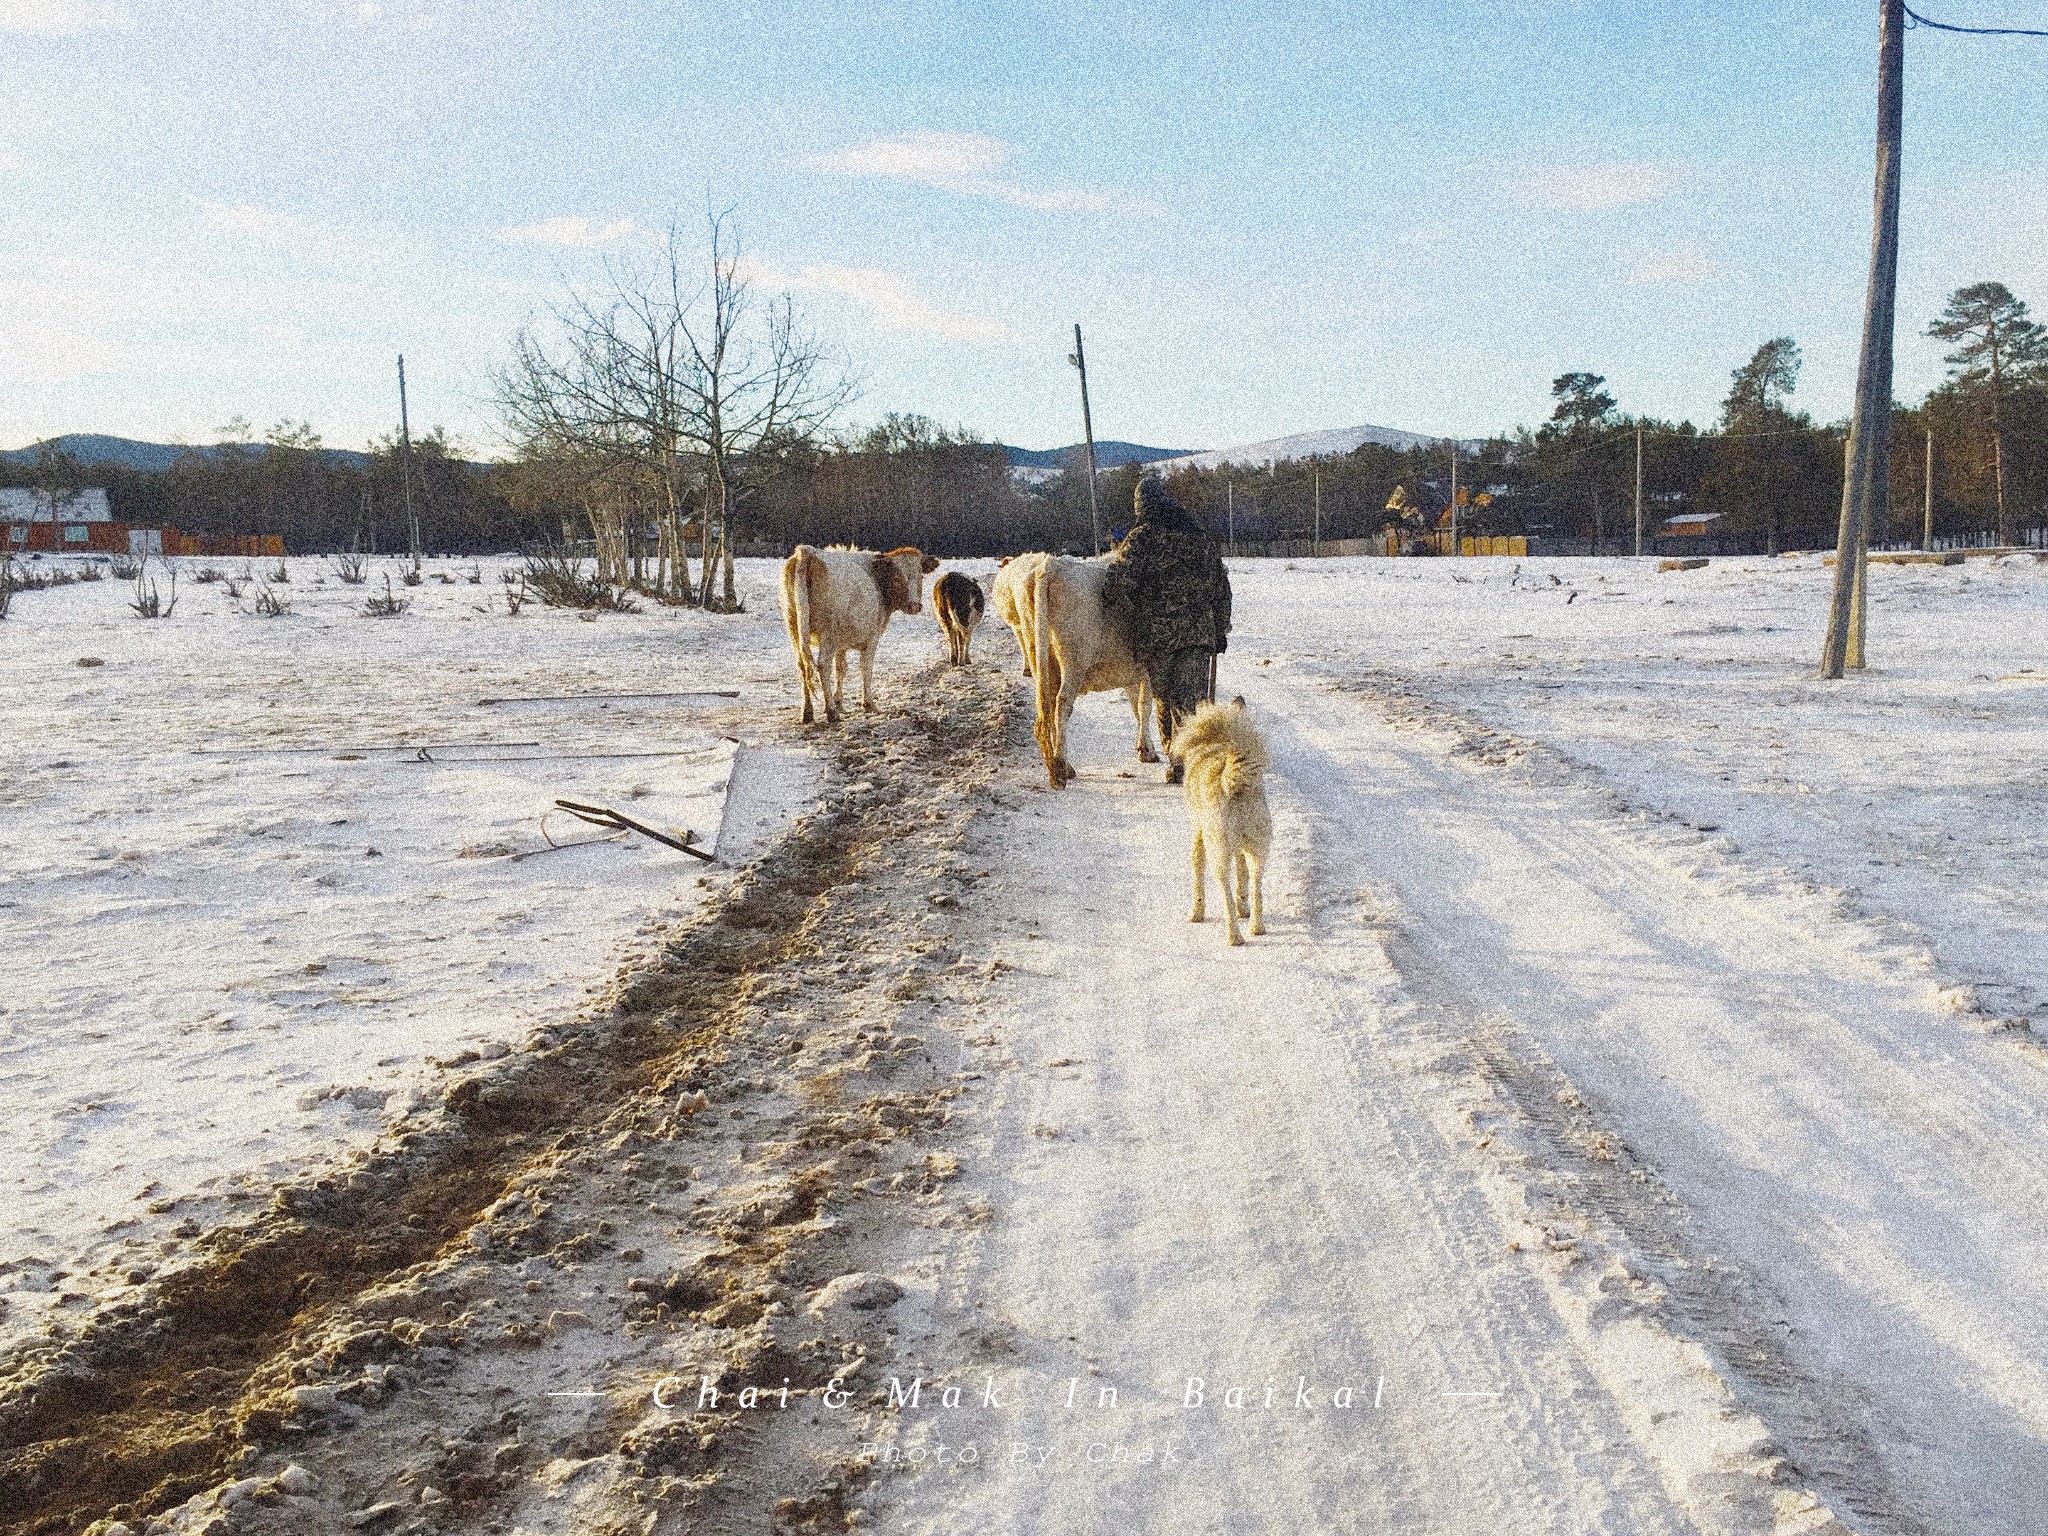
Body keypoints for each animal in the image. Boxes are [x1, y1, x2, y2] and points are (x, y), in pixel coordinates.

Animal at [778, 548, 937, 729]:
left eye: (920, 576)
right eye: (897, 577)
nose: (914, 606)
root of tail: (806, 552)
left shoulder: (840, 644)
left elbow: (841, 669)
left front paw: (839, 701)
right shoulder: (872, 638)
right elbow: (866, 668)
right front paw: (868, 704)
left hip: (793, 627)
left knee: (802, 666)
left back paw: (807, 712)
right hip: (827, 631)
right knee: (823, 665)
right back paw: (831, 712)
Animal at [1019, 557, 1155, 794]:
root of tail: (1053, 565)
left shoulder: (1133, 671)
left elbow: (1136, 705)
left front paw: (1145, 747)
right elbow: (1145, 706)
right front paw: (1148, 751)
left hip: (1039, 655)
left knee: (1046, 705)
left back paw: (1062, 765)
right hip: (1074, 659)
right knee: (1062, 704)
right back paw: (1060, 769)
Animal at [1171, 700, 1261, 946]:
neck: (1212, 744)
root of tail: (1230, 783)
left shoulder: (1199, 834)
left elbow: (1197, 872)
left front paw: (1196, 913)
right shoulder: (1240, 849)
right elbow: (1242, 876)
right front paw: (1243, 908)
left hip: (1217, 852)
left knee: (1225, 892)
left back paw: (1234, 936)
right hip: (1258, 849)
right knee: (1256, 884)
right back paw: (1256, 927)